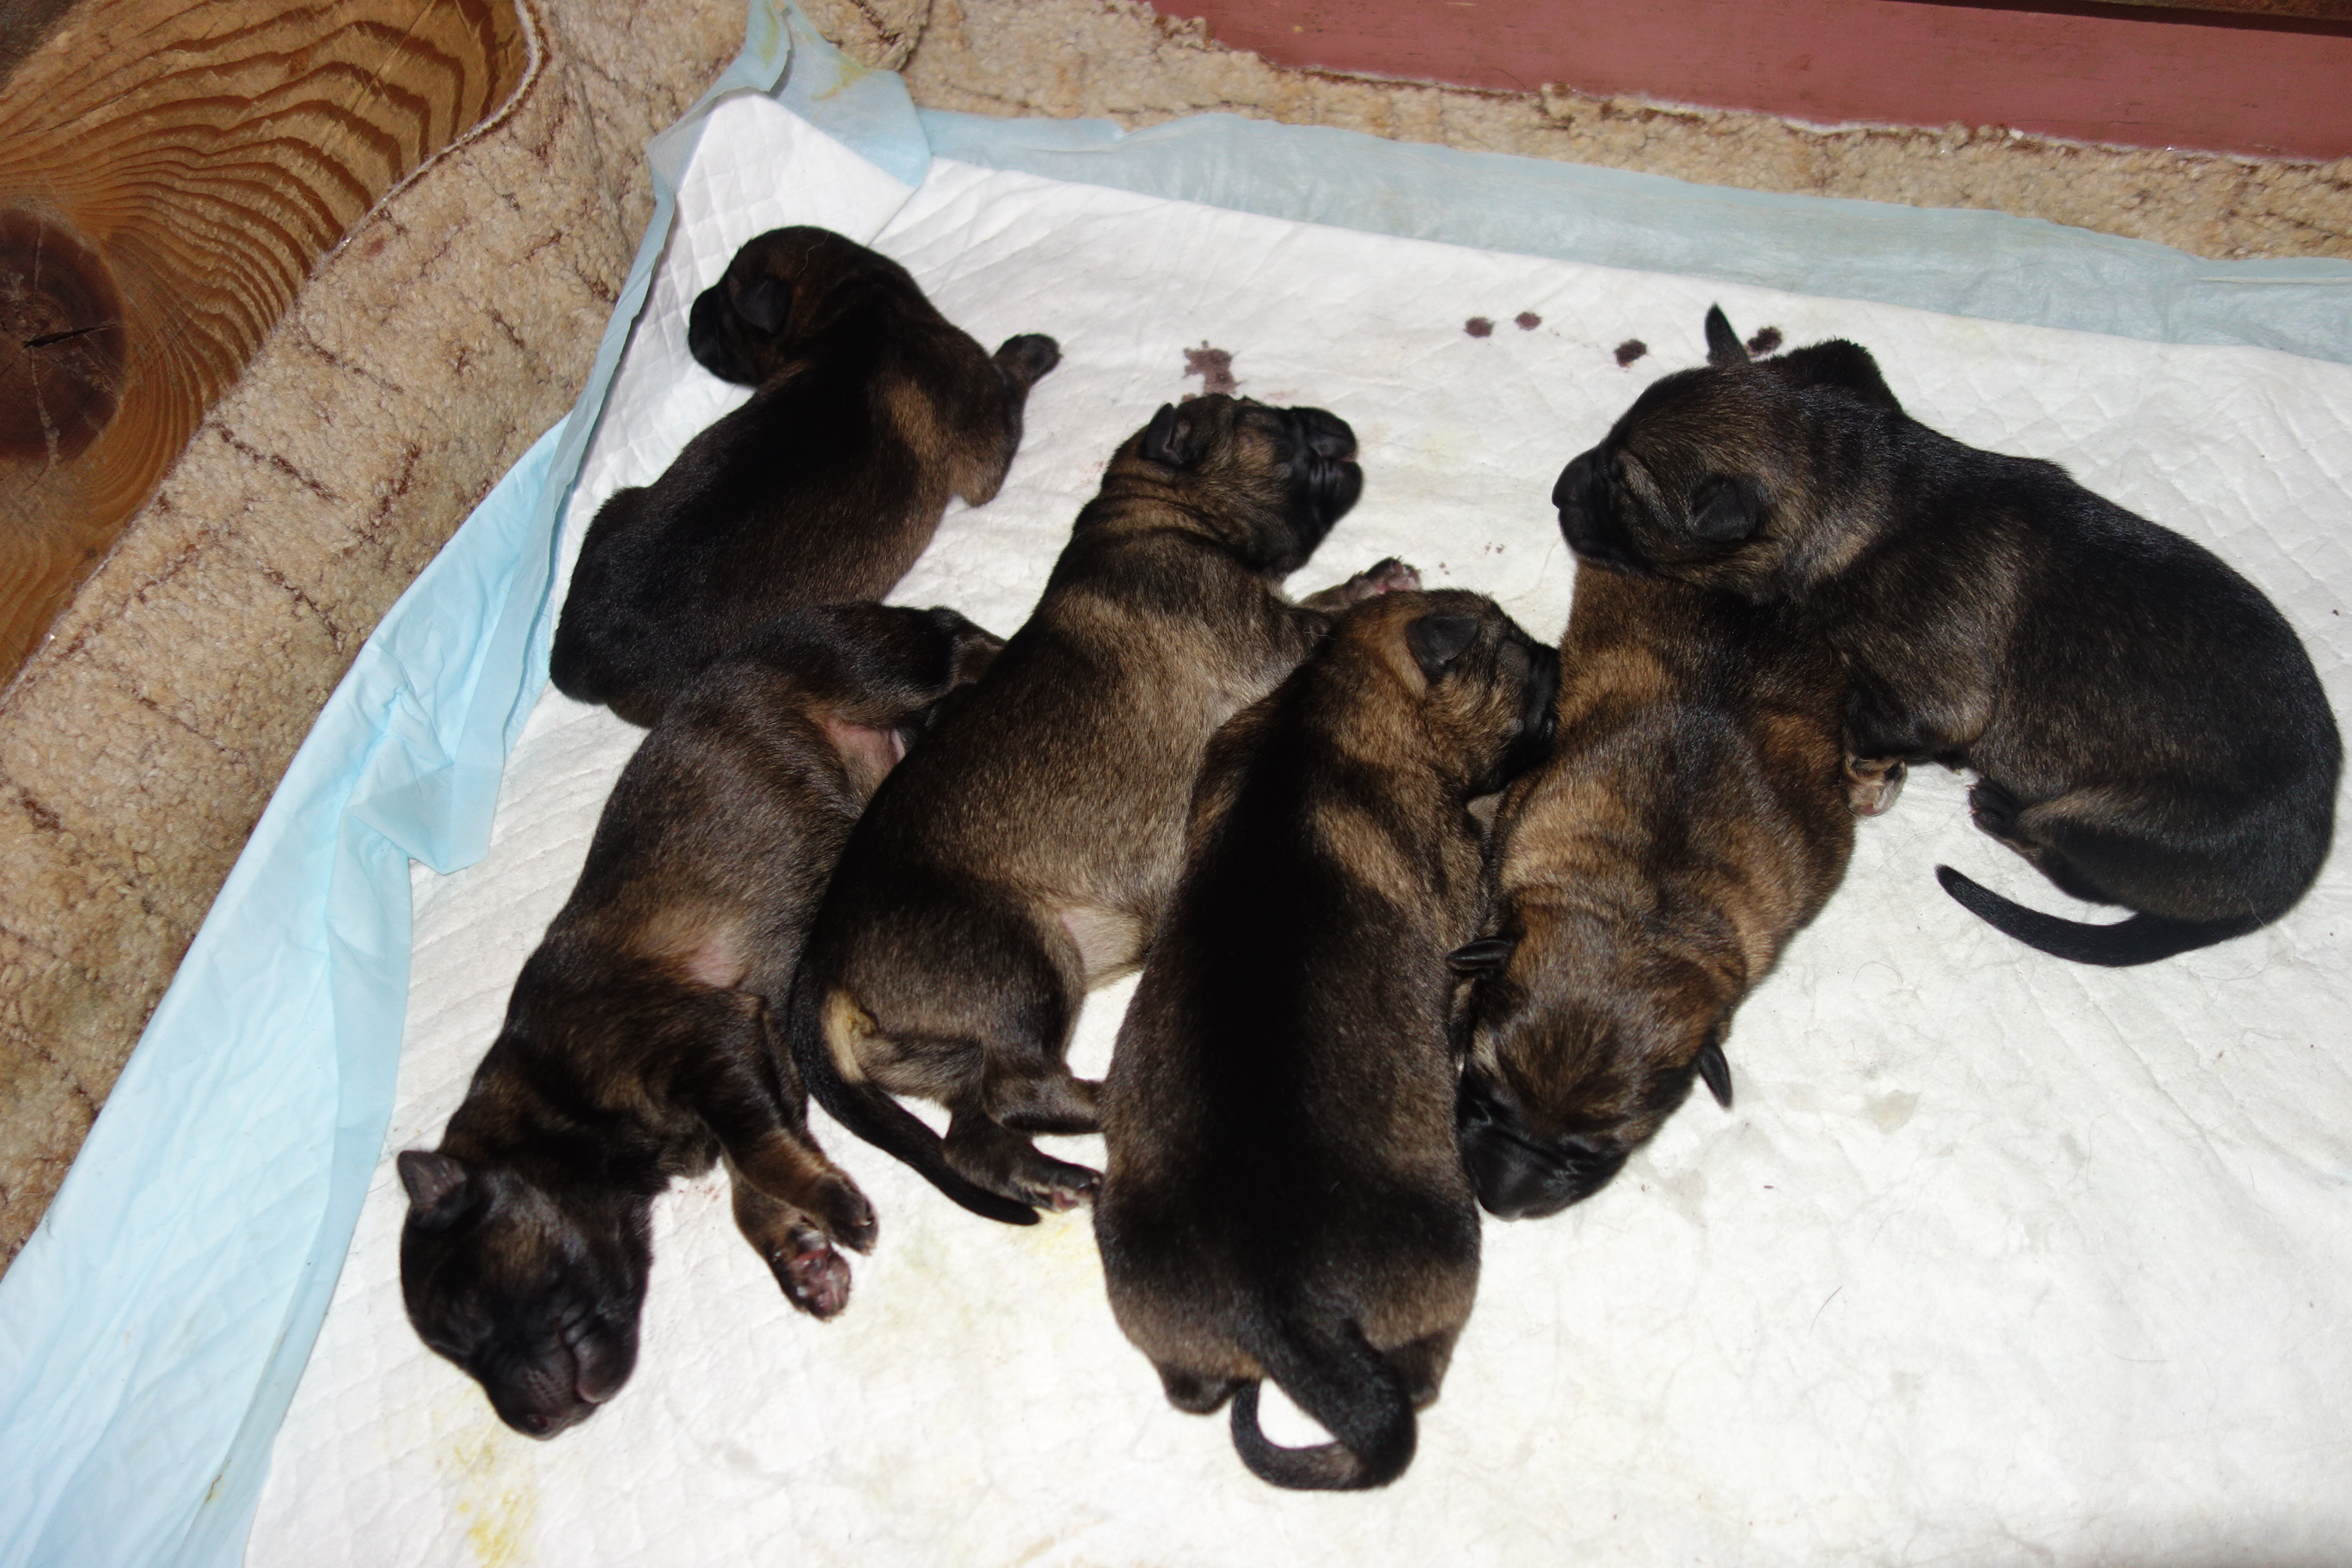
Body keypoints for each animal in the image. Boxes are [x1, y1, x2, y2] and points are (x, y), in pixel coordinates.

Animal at [398, 602, 1002, 1438]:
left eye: (471, 1319)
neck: (546, 1100)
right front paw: (798, 1252)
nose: (529, 1426)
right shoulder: (762, 1058)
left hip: (882, 667)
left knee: (952, 638)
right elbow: (760, 1173)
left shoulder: (708, 1044)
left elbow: (757, 1153)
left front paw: (833, 1211)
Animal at [550, 225, 1059, 726]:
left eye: (723, 301)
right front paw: (1031, 350)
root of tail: (576, 659)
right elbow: (1008, 387)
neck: (860, 300)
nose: (693, 310)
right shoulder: (982, 439)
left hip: (614, 505)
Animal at [784, 394, 1403, 1224]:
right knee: (1020, 1090)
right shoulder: (1264, 633)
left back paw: (1048, 1177)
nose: (1326, 418)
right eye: (1264, 419)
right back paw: (1112, 1103)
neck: (1156, 510)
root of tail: (822, 968)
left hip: (953, 1046)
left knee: (974, 1133)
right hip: (1024, 959)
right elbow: (1317, 617)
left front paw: (1371, 581)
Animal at [1095, 589, 1558, 1491]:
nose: (1558, 655)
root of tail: (1289, 1313)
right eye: (1519, 658)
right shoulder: (1461, 888)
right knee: (1418, 1377)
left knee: (1193, 1390)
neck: (1319, 705)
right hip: (1451, 1246)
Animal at [1552, 304, 2341, 966]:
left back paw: (2002, 808)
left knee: (2079, 875)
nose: (1558, 490)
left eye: (1624, 487)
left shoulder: (1939, 694)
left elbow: (1877, 721)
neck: (1855, 486)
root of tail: (2272, 894)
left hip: (2099, 815)